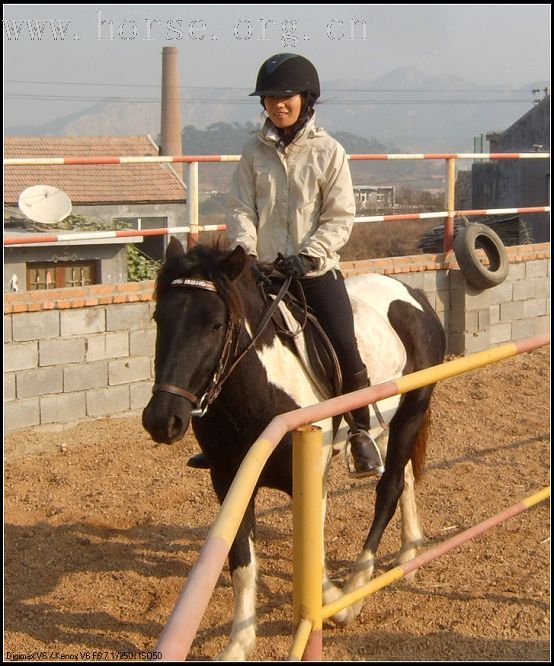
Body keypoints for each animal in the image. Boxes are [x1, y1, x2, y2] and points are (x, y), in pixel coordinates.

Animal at [142, 236, 444, 656]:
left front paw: (337, 605)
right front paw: (239, 644)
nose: (161, 419)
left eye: (215, 324)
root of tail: (412, 294)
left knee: (390, 487)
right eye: (160, 320)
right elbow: (241, 562)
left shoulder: (311, 478)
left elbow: (312, 559)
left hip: (413, 408)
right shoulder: (229, 481)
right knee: (405, 478)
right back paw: (409, 551)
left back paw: (357, 591)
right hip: (389, 419)